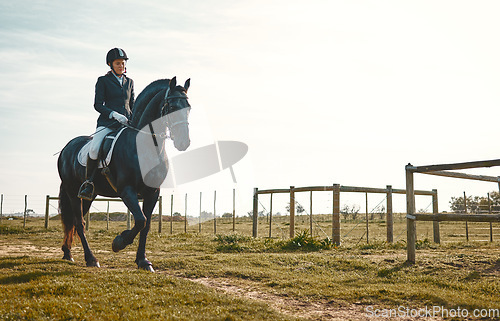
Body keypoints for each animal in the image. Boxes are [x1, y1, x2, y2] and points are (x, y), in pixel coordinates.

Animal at [57, 77, 190, 270]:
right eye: (171, 107)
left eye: (189, 108)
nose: (183, 142)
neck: (145, 145)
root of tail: (66, 148)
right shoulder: (127, 190)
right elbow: (141, 220)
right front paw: (119, 242)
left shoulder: (152, 193)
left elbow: (146, 226)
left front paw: (143, 260)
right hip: (72, 191)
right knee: (79, 223)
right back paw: (91, 259)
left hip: (88, 195)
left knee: (75, 221)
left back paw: (68, 253)